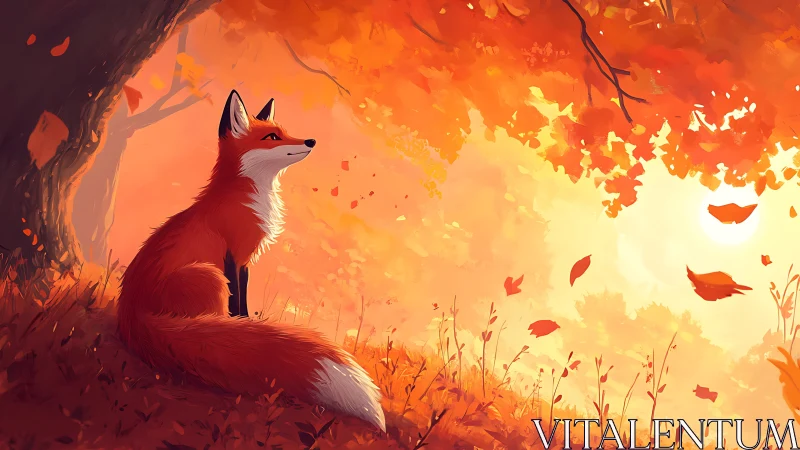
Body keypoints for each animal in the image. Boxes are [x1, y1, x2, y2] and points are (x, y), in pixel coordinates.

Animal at [116, 90, 386, 431]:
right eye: (272, 137)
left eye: (284, 130)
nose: (311, 141)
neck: (246, 197)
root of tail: (131, 313)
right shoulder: (234, 257)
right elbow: (238, 306)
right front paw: (244, 327)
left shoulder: (245, 262)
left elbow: (243, 304)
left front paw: (247, 326)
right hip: (209, 277)